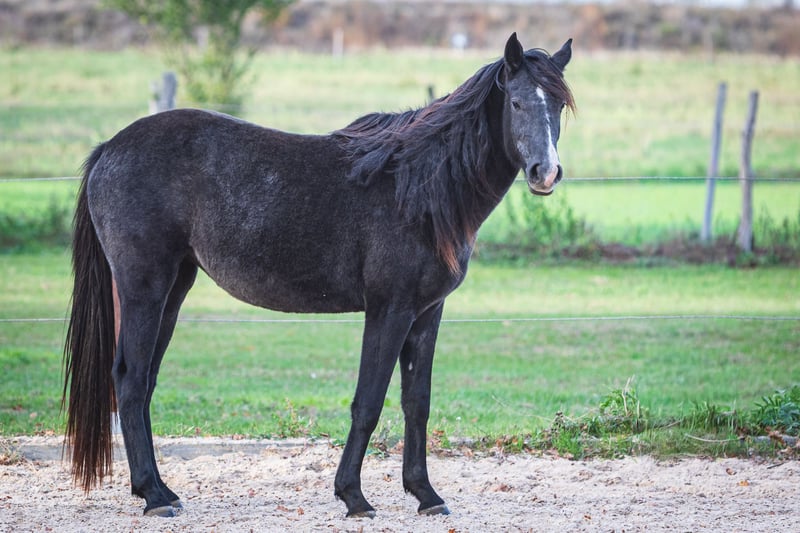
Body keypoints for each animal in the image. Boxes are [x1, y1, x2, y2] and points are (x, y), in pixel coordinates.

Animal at [62, 32, 574, 518]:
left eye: (558, 107)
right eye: (516, 102)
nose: (545, 173)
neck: (416, 188)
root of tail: (109, 149)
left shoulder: (427, 314)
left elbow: (417, 403)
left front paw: (425, 495)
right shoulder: (389, 310)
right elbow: (368, 403)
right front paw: (354, 497)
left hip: (175, 287)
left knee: (145, 381)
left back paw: (161, 489)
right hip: (144, 288)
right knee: (130, 380)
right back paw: (154, 496)